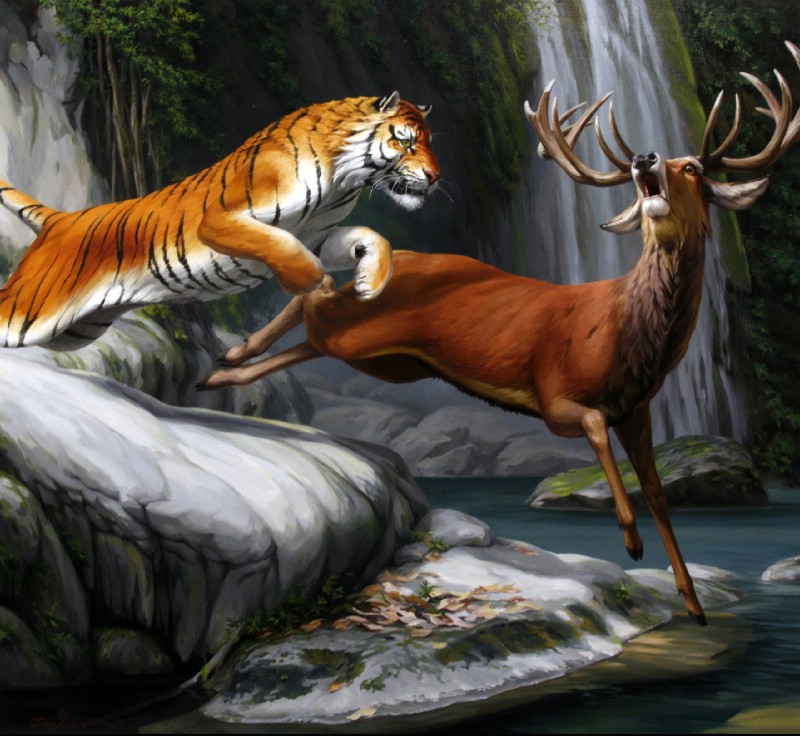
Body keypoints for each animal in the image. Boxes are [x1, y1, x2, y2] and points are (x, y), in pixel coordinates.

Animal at [0, 92, 440, 349]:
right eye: (405, 141)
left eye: (429, 142)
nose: (435, 177)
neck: (342, 178)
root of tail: (62, 218)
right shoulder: (220, 220)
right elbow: (278, 243)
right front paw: (310, 281)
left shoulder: (318, 234)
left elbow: (373, 236)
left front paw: (370, 283)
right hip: (34, 308)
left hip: (76, 331)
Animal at [199, 42, 800, 626]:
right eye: (665, 166)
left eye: (694, 166)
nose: (643, 159)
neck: (628, 334)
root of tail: (400, 257)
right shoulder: (557, 398)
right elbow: (595, 432)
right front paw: (630, 541)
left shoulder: (638, 411)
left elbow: (658, 495)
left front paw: (692, 601)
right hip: (362, 336)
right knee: (314, 296)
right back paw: (232, 357)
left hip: (387, 361)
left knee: (314, 311)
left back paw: (223, 370)